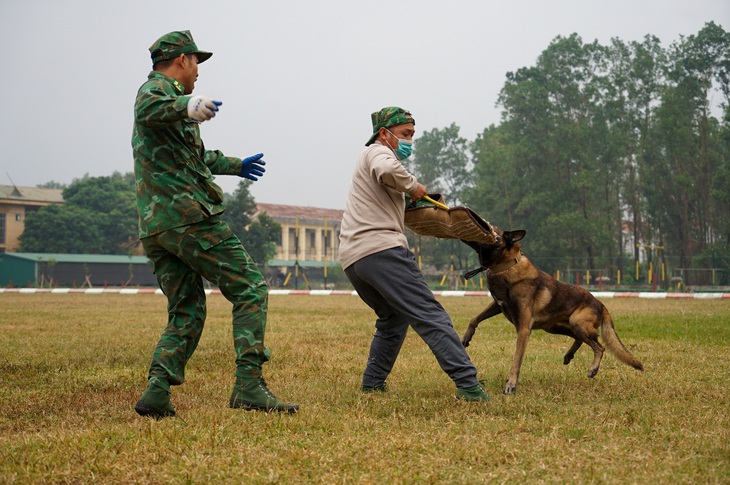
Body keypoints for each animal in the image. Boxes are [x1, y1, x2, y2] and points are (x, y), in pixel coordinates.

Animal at [460, 228, 644, 394]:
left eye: (491, 231)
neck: (507, 266)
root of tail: (600, 303)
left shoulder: (523, 329)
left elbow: (516, 360)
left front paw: (511, 385)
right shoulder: (497, 305)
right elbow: (474, 318)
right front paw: (466, 338)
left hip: (575, 322)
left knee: (599, 347)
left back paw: (593, 369)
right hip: (556, 327)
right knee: (581, 339)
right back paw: (569, 355)